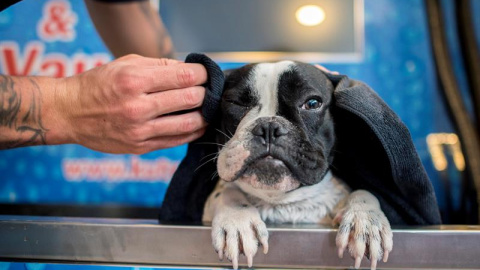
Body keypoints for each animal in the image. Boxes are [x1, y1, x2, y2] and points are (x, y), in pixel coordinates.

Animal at [202, 61, 394, 270]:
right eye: (235, 103)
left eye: (312, 103)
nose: (269, 127)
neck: (283, 200)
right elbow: (226, 191)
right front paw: (237, 220)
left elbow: (364, 192)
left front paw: (365, 222)